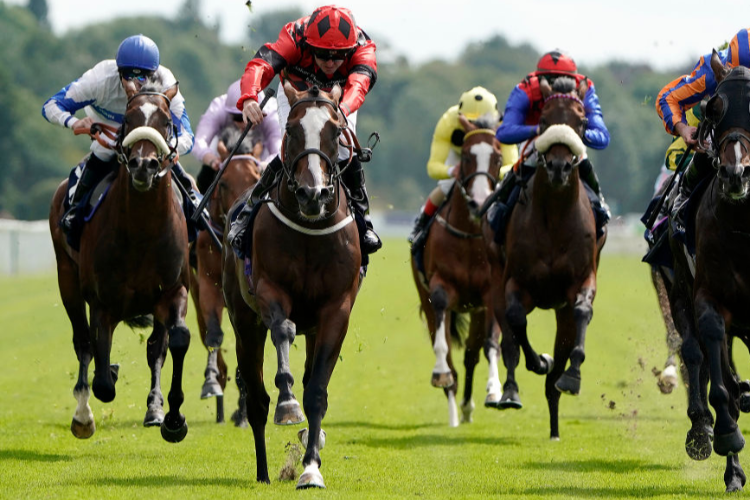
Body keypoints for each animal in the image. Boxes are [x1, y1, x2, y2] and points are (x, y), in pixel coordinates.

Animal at [49, 80, 191, 444]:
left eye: (167, 121)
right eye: (128, 118)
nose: (144, 165)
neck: (141, 232)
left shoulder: (173, 291)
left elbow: (176, 340)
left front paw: (173, 419)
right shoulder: (103, 301)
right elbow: (101, 377)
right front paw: (103, 380)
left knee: (156, 347)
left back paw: (154, 409)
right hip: (67, 280)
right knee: (83, 343)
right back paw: (83, 414)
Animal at [222, 82, 362, 488]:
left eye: (335, 130)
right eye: (291, 129)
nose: (313, 194)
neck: (310, 229)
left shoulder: (336, 310)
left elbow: (317, 392)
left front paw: (311, 467)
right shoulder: (269, 290)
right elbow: (283, 328)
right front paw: (287, 404)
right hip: (243, 323)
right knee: (255, 399)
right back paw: (263, 472)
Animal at [412, 116, 506, 426]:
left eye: (498, 158)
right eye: (465, 156)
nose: (479, 202)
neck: (469, 236)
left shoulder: (490, 295)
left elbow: (490, 345)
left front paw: (494, 390)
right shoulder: (440, 287)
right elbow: (444, 348)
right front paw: (441, 373)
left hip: (476, 310)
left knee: (470, 356)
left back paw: (466, 407)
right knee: (450, 358)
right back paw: (454, 412)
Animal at [488, 76, 604, 440]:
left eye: (581, 123)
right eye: (542, 121)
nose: (558, 167)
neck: (554, 216)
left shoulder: (581, 280)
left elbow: (582, 312)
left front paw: (572, 375)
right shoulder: (516, 281)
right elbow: (516, 321)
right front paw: (540, 361)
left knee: (558, 362)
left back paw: (555, 421)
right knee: (508, 337)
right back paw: (512, 391)